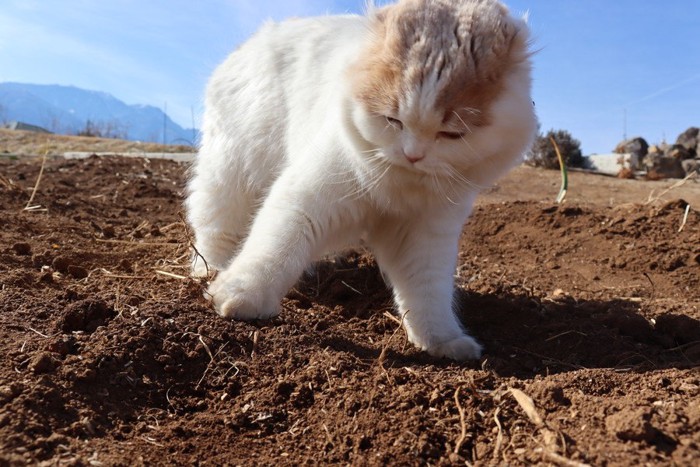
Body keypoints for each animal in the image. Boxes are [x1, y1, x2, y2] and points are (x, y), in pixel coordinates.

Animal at [186, 0, 536, 362]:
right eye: (393, 120)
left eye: (451, 134)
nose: (413, 154)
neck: (398, 186)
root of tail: (253, 40)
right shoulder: (307, 200)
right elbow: (274, 249)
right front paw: (240, 297)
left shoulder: (427, 234)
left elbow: (429, 294)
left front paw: (442, 343)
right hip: (229, 175)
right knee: (217, 233)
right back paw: (209, 270)